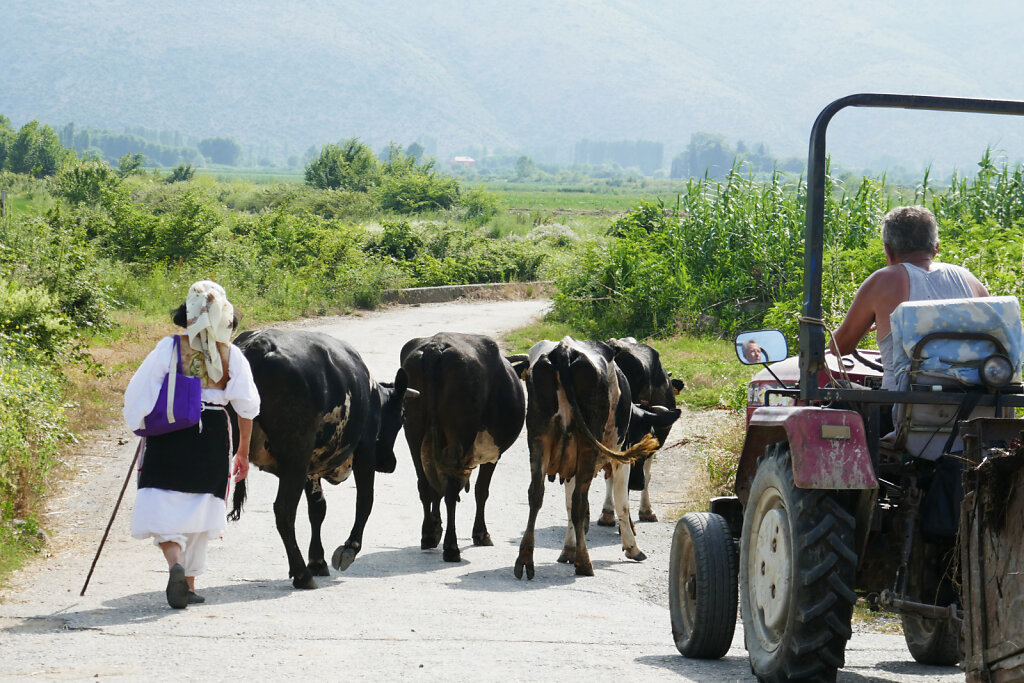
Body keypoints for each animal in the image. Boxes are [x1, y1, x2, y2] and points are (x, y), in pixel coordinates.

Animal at [230, 329, 409, 589]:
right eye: (402, 417)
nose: (389, 463)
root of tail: (257, 346)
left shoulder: (311, 467)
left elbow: (318, 508)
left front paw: (317, 560)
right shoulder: (364, 449)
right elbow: (365, 500)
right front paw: (349, 548)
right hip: (296, 456)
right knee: (284, 511)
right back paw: (301, 574)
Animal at [399, 331, 528, 561]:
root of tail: (435, 346)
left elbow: (437, 488)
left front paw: (435, 528)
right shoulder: (492, 454)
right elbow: (481, 490)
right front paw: (481, 533)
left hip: (413, 431)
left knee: (425, 485)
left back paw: (428, 534)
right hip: (459, 436)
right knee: (451, 491)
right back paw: (451, 547)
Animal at [512, 335, 679, 577]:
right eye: (643, 434)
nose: (637, 482)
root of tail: (565, 349)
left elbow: (569, 505)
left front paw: (569, 548)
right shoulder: (621, 459)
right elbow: (622, 502)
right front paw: (632, 546)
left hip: (538, 439)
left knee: (536, 494)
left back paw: (525, 559)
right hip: (587, 446)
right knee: (580, 502)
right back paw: (584, 563)